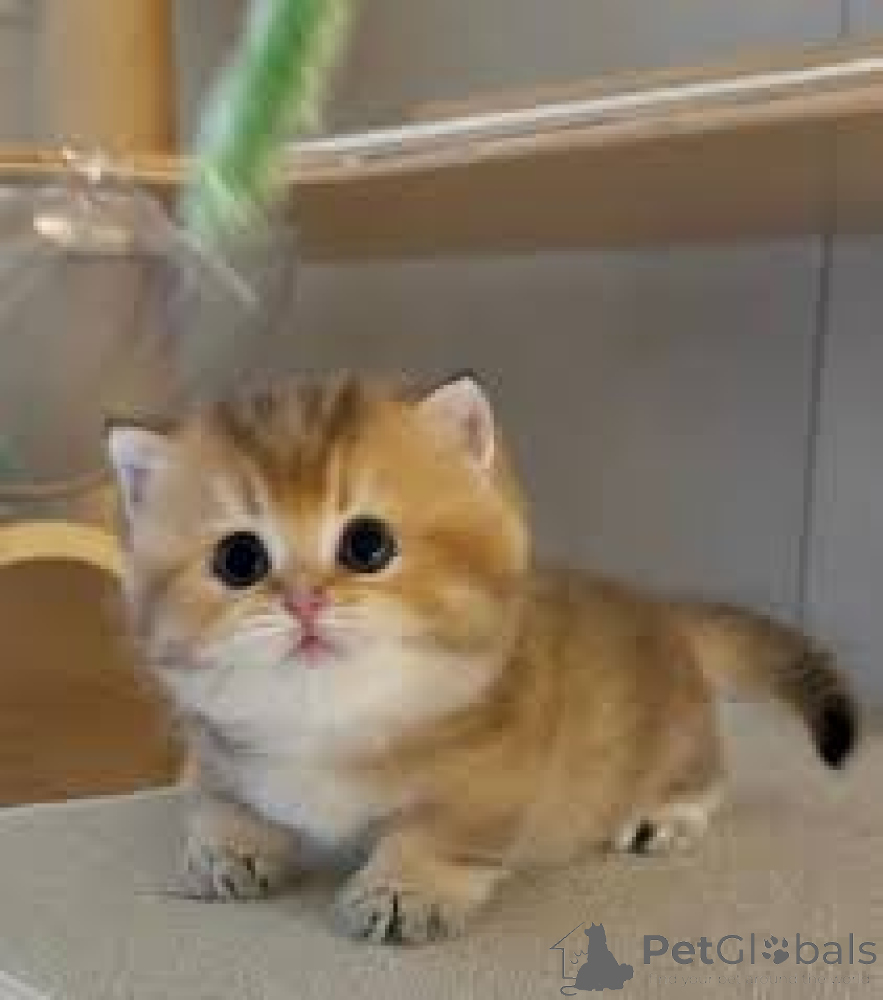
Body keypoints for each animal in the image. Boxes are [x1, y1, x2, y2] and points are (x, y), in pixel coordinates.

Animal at [106, 372, 858, 944]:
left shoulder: (492, 773)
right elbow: (220, 796)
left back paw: (666, 813)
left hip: (673, 736)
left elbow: (439, 832)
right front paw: (229, 847)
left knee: (705, 773)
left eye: (367, 544)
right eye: (239, 559)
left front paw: (405, 888)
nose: (303, 600)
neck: (328, 722)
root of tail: (660, 610)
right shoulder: (215, 740)